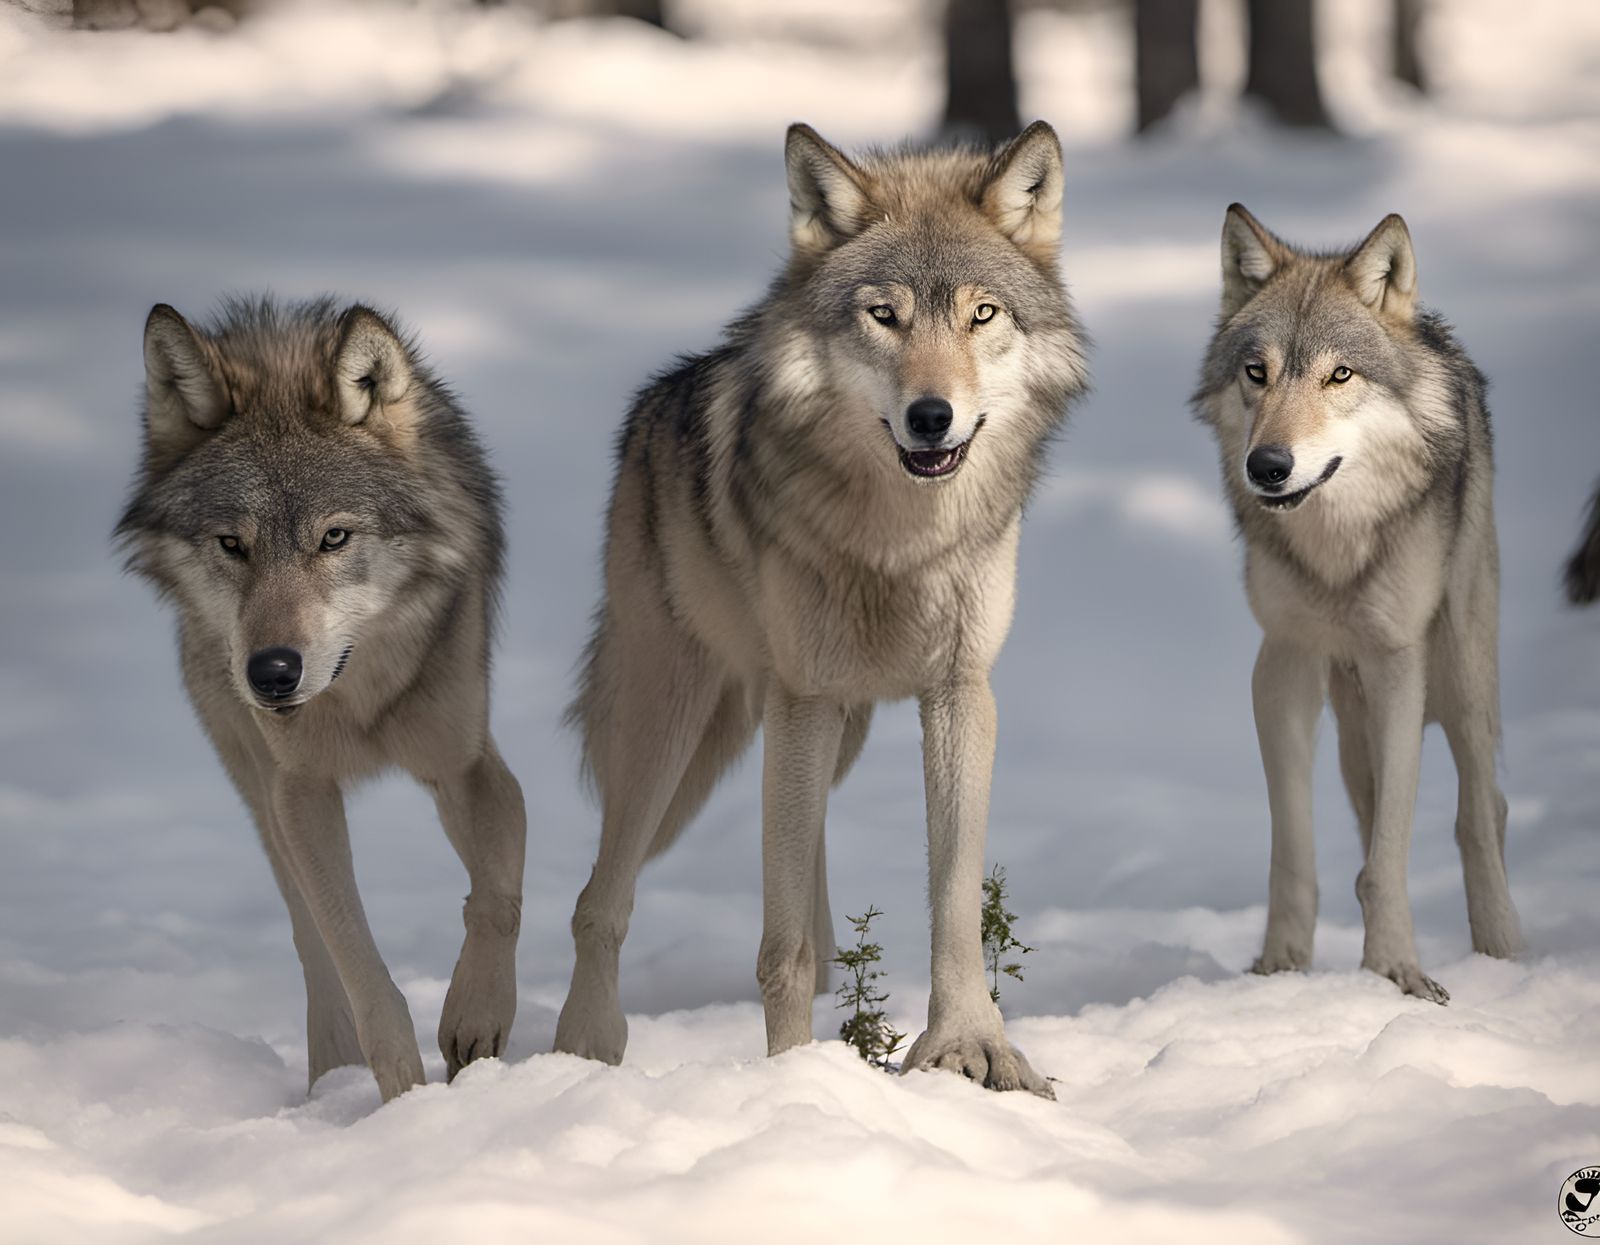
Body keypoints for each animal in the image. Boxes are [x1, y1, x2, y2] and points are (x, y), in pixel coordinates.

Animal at [116, 297, 526, 1102]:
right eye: (232, 544)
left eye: (334, 537)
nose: (272, 671)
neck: (357, 695)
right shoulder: (300, 790)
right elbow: (350, 952)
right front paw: (404, 1096)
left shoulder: (468, 766)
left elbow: (497, 891)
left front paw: (474, 1020)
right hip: (254, 781)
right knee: (308, 937)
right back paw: (329, 1077)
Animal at [551, 122, 1087, 1095]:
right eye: (884, 316)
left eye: (982, 314)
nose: (931, 415)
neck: (902, 542)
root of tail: (653, 403)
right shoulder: (804, 696)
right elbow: (783, 946)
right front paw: (796, 1082)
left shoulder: (958, 694)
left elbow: (953, 904)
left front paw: (973, 1048)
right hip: (677, 730)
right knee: (599, 898)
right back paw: (583, 1048)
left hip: (834, 732)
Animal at [1194, 205, 1523, 1002]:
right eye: (1256, 372)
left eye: (1339, 374)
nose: (1267, 466)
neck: (1333, 549)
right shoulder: (1283, 664)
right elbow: (1296, 853)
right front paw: (1280, 969)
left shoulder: (1397, 661)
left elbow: (1393, 852)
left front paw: (1397, 971)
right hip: (1350, 728)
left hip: (1461, 672)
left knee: (1482, 811)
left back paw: (1504, 953)